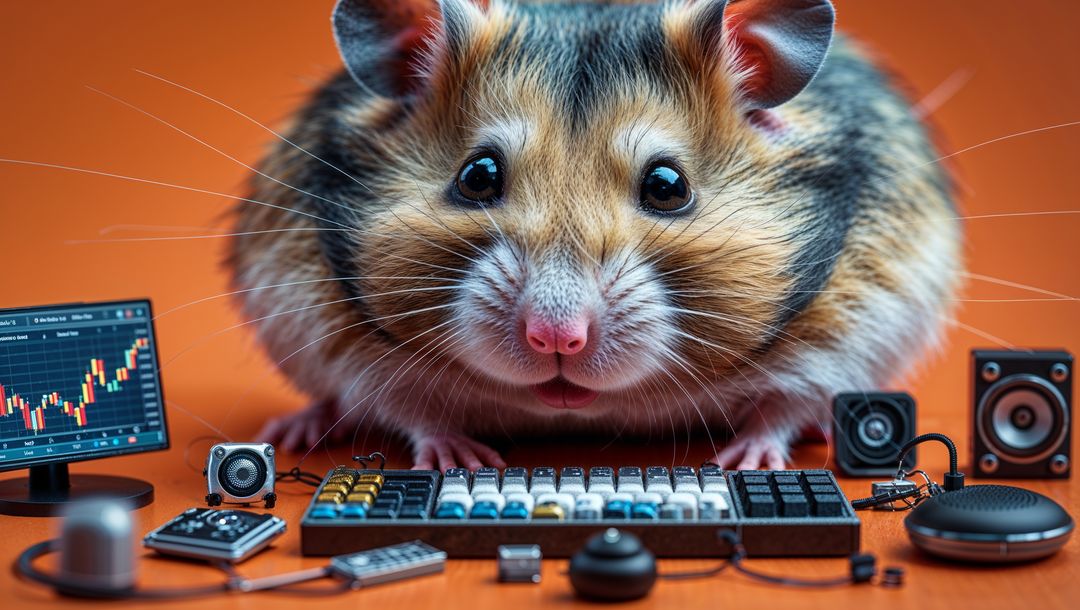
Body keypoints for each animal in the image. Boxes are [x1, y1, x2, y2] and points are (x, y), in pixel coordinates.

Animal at [229, 0, 960, 470]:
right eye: (477, 176)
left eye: (668, 185)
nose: (557, 339)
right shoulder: (338, 334)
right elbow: (408, 406)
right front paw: (463, 459)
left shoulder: (854, 328)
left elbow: (784, 404)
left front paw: (744, 462)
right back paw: (297, 430)